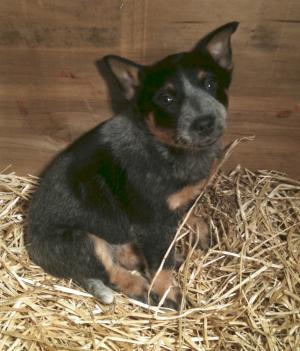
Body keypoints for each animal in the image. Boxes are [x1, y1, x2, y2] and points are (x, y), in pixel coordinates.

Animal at [25, 22, 239, 310]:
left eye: (210, 83)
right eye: (167, 99)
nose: (204, 123)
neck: (169, 148)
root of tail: (31, 246)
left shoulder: (180, 202)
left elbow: (188, 212)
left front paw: (199, 228)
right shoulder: (151, 223)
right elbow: (160, 264)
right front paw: (167, 293)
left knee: (125, 255)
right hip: (81, 240)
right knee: (112, 273)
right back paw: (145, 289)